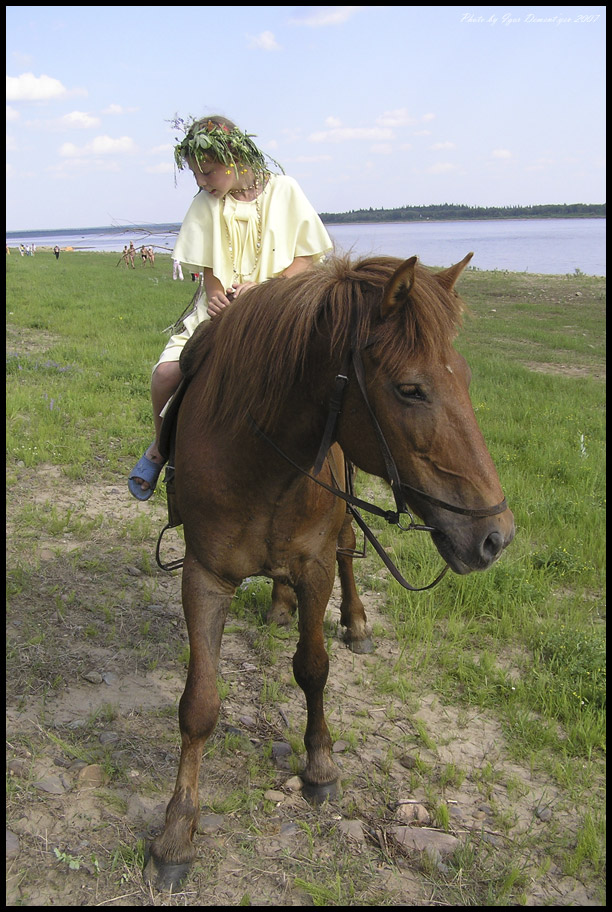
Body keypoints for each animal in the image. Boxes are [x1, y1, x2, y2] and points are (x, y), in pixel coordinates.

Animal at [146, 255, 512, 892]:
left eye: (464, 378)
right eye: (410, 388)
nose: (495, 535)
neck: (262, 457)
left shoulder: (314, 565)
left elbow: (313, 667)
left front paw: (320, 765)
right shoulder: (204, 576)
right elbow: (199, 706)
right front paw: (176, 834)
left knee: (348, 553)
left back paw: (356, 624)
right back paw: (278, 603)